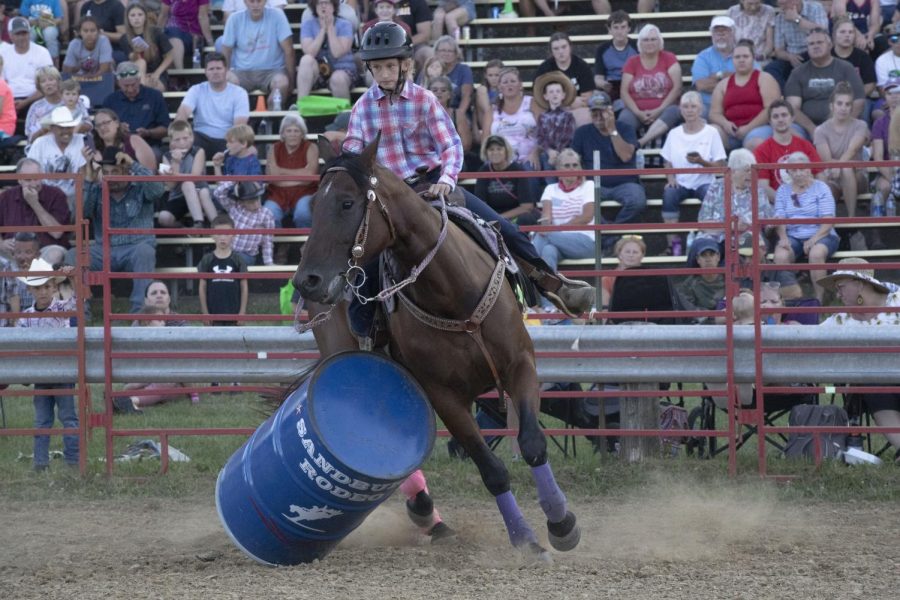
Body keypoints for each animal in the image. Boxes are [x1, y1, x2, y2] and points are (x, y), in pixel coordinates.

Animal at [292, 136, 580, 564]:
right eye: (314, 205)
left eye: (346, 203)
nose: (306, 280)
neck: (452, 293)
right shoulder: (444, 396)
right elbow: (491, 470)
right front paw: (526, 540)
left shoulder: (520, 366)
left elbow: (531, 443)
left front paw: (562, 525)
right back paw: (427, 514)